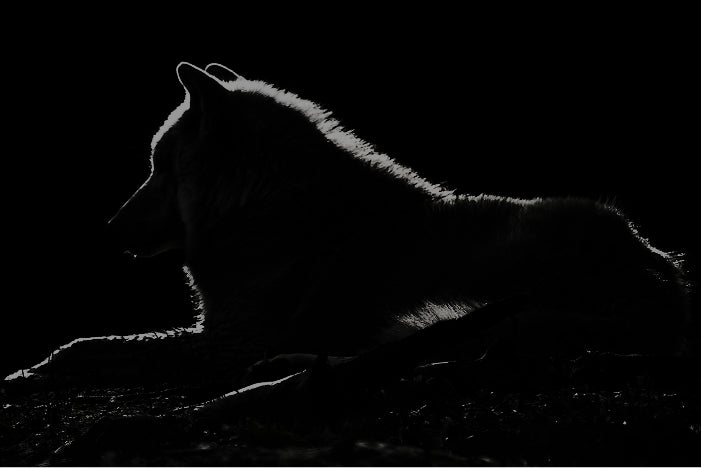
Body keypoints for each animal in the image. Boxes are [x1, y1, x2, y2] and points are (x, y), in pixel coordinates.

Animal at [4, 62, 692, 389]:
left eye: (158, 168)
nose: (110, 227)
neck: (265, 207)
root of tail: (665, 288)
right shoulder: (220, 334)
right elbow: (97, 344)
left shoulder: (228, 340)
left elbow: (101, 348)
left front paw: (32, 372)